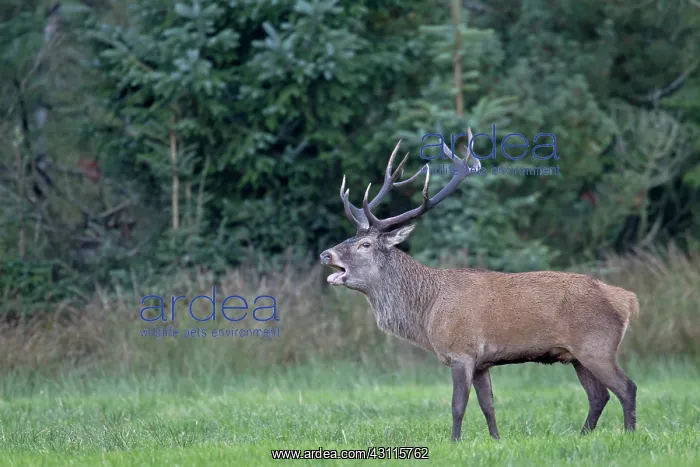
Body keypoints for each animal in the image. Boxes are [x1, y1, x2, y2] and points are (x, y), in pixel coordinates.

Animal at [319, 128, 639, 441]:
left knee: (626, 388)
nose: (326, 254)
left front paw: (454, 442)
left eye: (365, 244)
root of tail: (626, 299)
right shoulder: (483, 362)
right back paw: (582, 436)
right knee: (598, 395)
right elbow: (488, 405)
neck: (427, 312)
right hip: (576, 355)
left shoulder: (462, 351)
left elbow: (458, 405)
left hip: (597, 346)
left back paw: (628, 434)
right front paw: (496, 440)